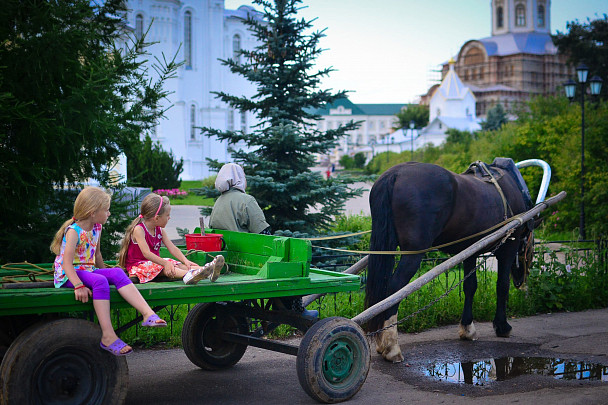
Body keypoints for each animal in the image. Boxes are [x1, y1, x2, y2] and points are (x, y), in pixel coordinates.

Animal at [366, 159, 532, 362]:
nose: (522, 280)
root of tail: (394, 174)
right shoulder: (508, 247)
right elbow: (502, 286)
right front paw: (502, 325)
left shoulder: (470, 252)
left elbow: (470, 286)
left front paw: (467, 328)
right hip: (413, 253)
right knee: (394, 289)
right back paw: (391, 346)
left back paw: (382, 342)